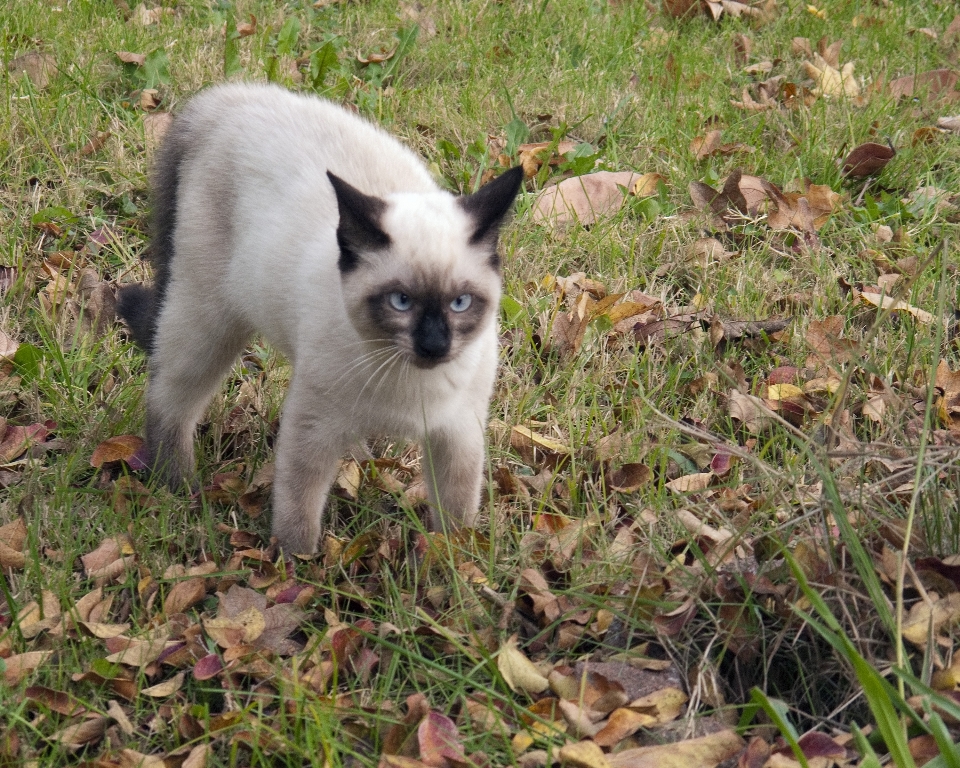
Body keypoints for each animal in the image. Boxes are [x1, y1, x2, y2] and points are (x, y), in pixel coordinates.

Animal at [121, 82, 528, 552]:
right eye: (400, 302)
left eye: (460, 303)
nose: (434, 345)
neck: (408, 382)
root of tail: (227, 95)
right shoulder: (313, 429)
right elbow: (299, 508)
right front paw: (296, 566)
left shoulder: (458, 436)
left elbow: (456, 517)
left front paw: (451, 561)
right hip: (208, 321)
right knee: (169, 397)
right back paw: (177, 486)